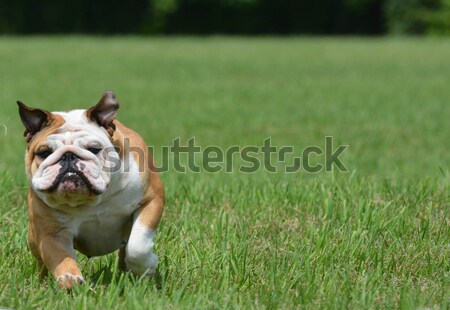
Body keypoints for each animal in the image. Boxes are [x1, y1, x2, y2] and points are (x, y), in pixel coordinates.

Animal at [18, 91, 165, 288]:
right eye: (44, 153)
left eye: (94, 149)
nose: (68, 156)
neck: (93, 200)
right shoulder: (51, 233)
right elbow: (60, 257)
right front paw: (70, 278)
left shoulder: (151, 199)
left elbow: (137, 246)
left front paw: (147, 267)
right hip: (34, 240)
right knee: (42, 263)